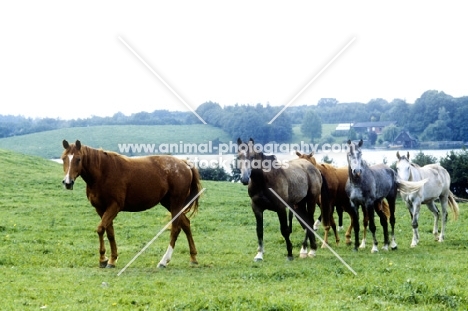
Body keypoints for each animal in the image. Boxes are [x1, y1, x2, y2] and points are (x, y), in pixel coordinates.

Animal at [61, 140, 202, 270]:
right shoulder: (101, 209)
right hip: (170, 204)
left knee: (175, 229)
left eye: (78, 159)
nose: (67, 182)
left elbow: (101, 229)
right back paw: (193, 258)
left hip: (175, 203)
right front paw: (112, 259)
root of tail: (185, 164)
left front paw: (103, 259)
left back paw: (164, 261)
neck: (103, 172)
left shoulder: (114, 206)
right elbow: (109, 232)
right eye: (63, 158)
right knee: (186, 224)